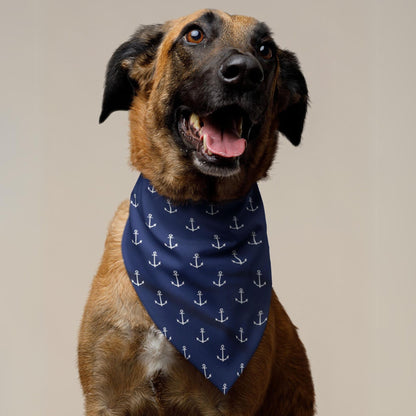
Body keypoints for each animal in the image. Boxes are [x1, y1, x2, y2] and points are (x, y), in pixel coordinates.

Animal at [78, 9, 314, 416]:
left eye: (266, 50)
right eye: (194, 34)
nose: (245, 71)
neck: (193, 220)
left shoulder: (223, 405)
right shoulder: (106, 397)